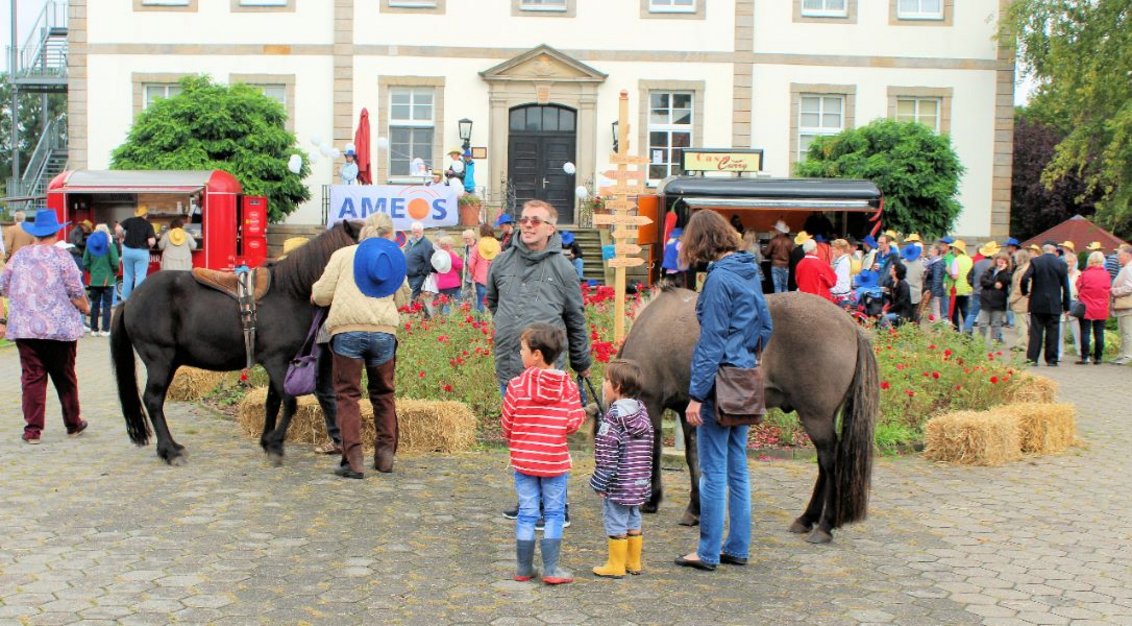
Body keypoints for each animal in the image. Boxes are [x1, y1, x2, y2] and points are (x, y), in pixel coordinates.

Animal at [108, 219, 359, 464]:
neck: (288, 293)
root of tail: (129, 301)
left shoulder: (275, 364)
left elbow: (272, 402)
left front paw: (267, 441)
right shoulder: (278, 362)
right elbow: (289, 402)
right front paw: (276, 445)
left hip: (168, 363)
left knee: (155, 401)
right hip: (160, 360)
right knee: (152, 400)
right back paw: (170, 451)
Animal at [620, 286, 873, 541]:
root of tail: (852, 327)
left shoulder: (650, 402)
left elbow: (654, 449)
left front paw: (651, 500)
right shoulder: (686, 410)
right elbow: (693, 457)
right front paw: (694, 509)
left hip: (816, 417)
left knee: (829, 462)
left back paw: (824, 526)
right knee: (823, 464)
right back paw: (806, 519)